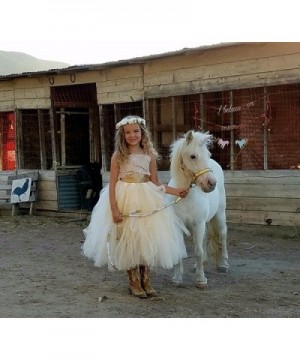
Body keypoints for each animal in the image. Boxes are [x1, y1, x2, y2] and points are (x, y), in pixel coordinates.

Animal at [168, 129, 229, 286]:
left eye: (208, 154)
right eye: (193, 156)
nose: (211, 183)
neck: (185, 197)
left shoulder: (198, 224)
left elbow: (198, 252)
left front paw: (201, 280)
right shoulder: (178, 226)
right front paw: (177, 278)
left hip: (219, 214)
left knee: (222, 234)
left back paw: (224, 264)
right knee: (206, 237)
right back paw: (199, 265)